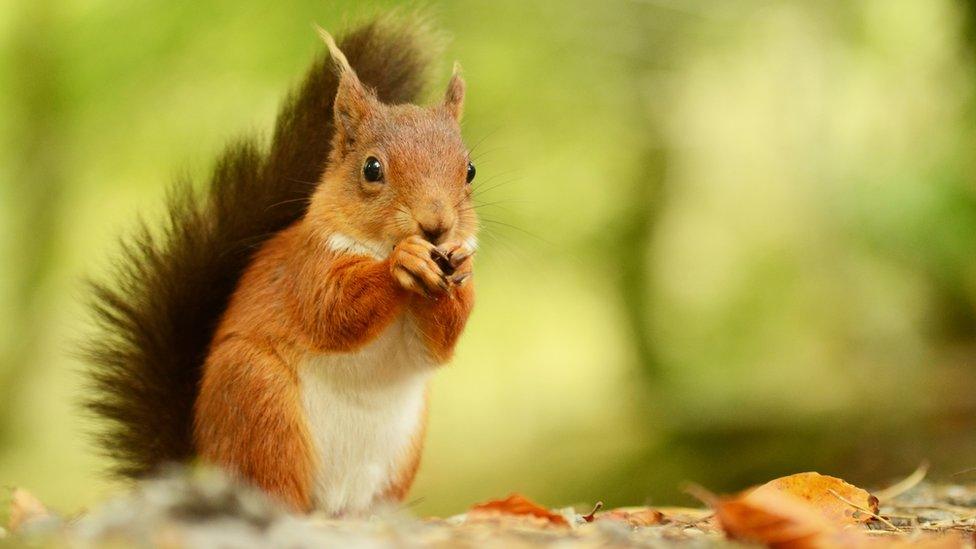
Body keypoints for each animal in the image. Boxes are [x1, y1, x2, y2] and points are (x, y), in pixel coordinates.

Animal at [86, 17, 474, 512]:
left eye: (470, 171)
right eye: (371, 169)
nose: (436, 226)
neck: (374, 247)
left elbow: (436, 345)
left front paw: (458, 272)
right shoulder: (306, 266)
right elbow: (332, 311)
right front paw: (401, 262)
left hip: (399, 454)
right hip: (260, 405)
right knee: (272, 481)